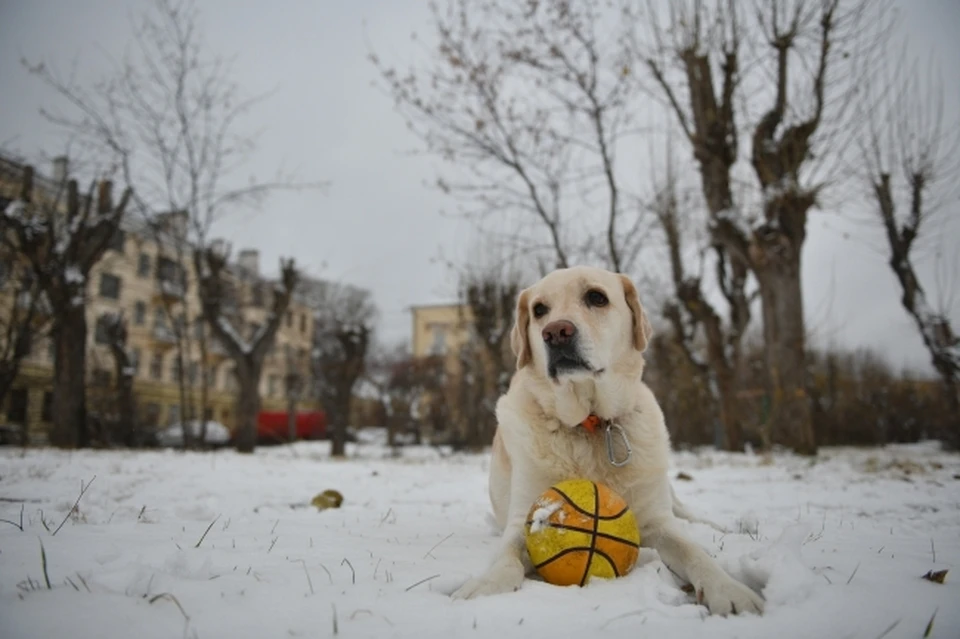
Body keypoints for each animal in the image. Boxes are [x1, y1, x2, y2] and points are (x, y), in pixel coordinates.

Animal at [452, 264, 764, 616]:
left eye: (596, 297)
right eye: (539, 310)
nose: (555, 332)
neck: (592, 425)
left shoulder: (659, 521)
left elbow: (694, 551)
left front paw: (729, 589)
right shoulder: (522, 519)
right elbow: (506, 558)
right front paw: (486, 586)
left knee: (688, 514)